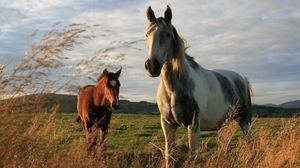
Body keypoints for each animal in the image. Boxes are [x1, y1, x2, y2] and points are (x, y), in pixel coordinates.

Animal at [144, 5, 252, 167]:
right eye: (146, 35)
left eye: (168, 34)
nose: (152, 66)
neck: (173, 89)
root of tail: (241, 79)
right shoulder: (167, 124)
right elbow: (169, 155)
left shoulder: (193, 124)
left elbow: (192, 155)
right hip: (223, 125)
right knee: (225, 147)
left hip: (244, 121)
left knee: (250, 143)